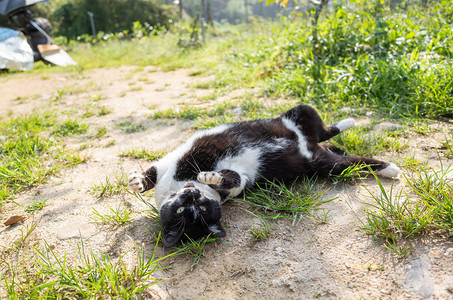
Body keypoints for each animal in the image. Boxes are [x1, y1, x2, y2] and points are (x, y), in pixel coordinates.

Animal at [128, 104, 400, 247]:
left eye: (200, 207)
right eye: (186, 212)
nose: (191, 195)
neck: (179, 182)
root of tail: (310, 146)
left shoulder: (170, 162)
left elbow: (152, 173)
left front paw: (136, 181)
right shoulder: (241, 179)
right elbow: (233, 179)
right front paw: (213, 178)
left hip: (300, 112)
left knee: (326, 129)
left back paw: (348, 122)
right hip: (330, 166)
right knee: (354, 161)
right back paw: (389, 167)